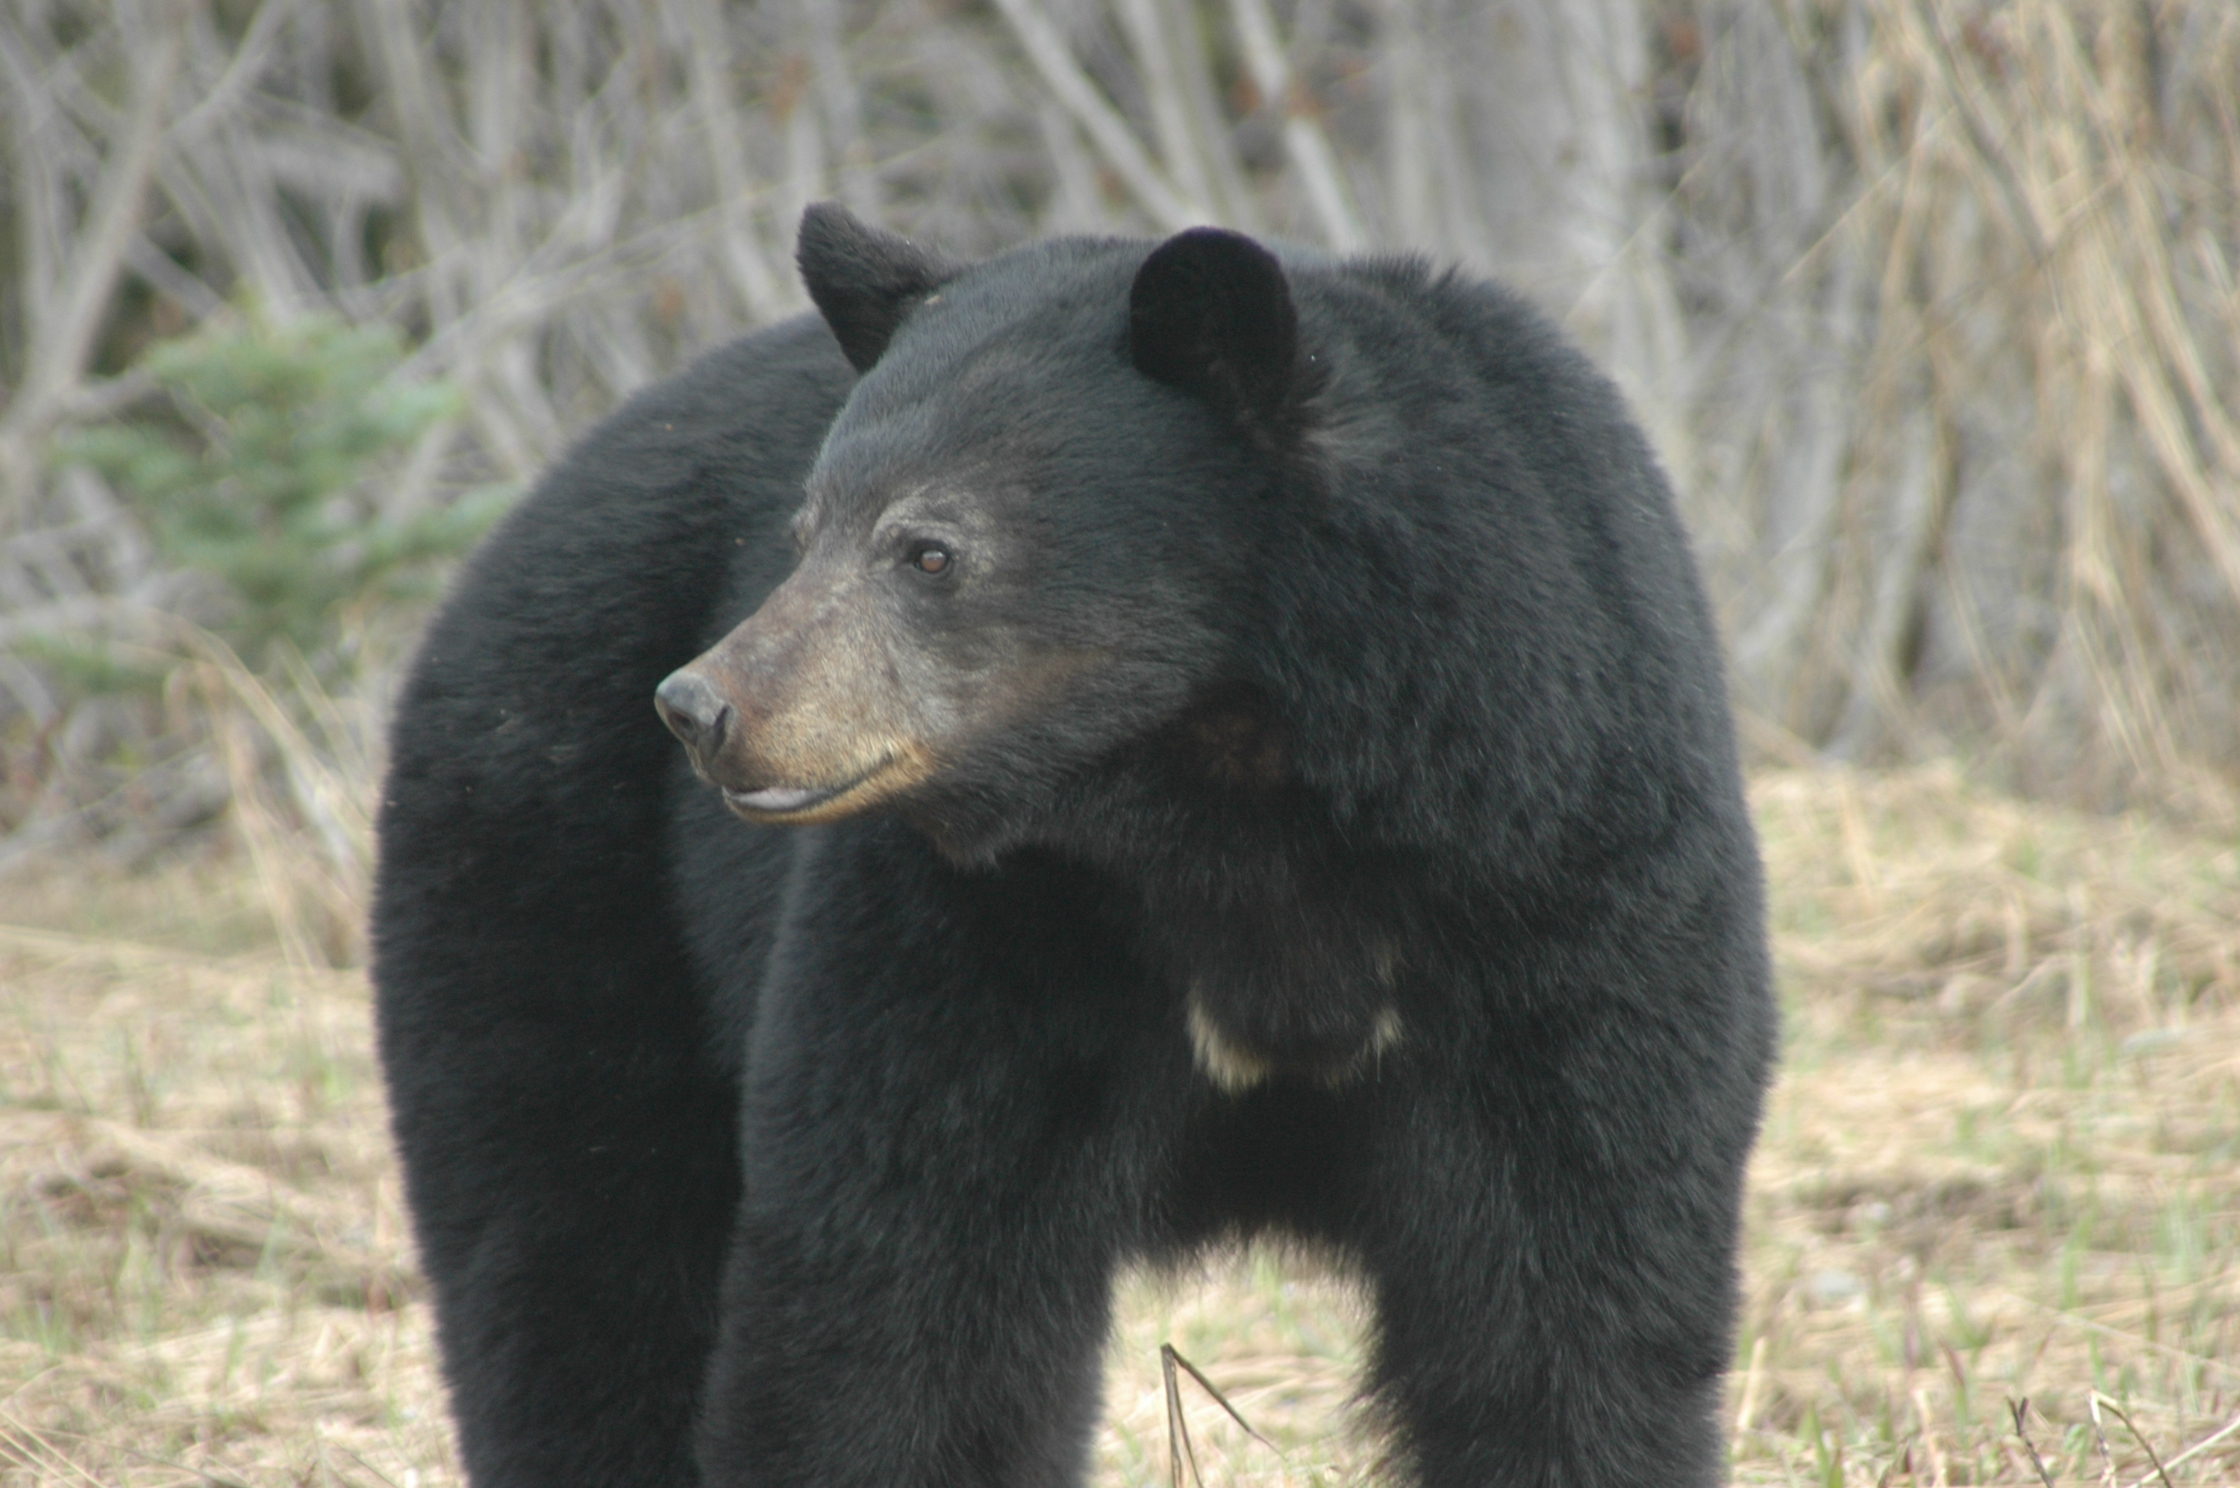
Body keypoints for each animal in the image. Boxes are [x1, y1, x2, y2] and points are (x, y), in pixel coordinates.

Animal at [372, 202, 1776, 1488]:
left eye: (928, 549)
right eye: (801, 530)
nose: (704, 708)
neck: (1212, 807)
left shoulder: (1559, 883)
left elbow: (1566, 1284)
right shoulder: (969, 932)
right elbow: (904, 1285)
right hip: (551, 867)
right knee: (575, 1246)